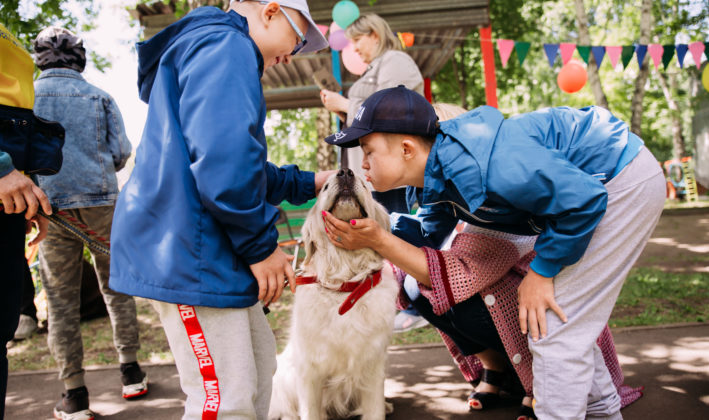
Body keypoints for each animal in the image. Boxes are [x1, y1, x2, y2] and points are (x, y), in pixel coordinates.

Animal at [268, 169, 398, 418]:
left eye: (365, 185)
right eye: (325, 186)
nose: (345, 172)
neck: (345, 285)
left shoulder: (373, 365)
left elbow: (374, 409)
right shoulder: (309, 372)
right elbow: (309, 412)